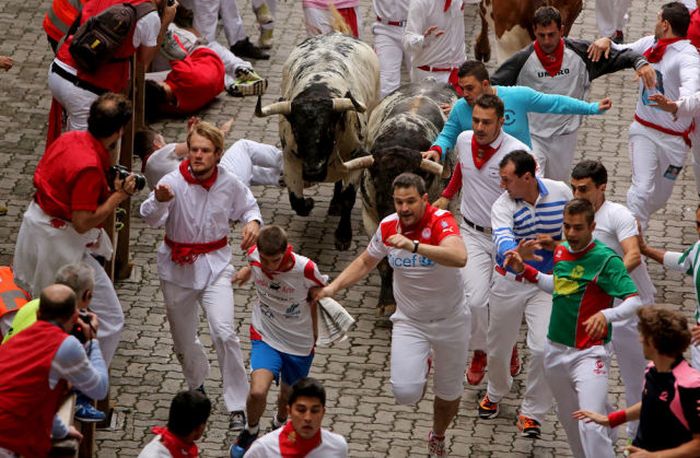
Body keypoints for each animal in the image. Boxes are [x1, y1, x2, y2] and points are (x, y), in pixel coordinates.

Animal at [254, 32, 380, 250]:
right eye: (296, 130)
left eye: (328, 129)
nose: (313, 171)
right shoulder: (291, 160)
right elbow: (296, 201)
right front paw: (309, 203)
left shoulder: (358, 158)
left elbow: (348, 198)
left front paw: (343, 236)